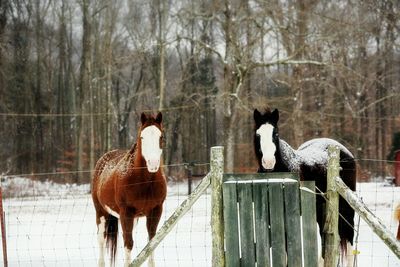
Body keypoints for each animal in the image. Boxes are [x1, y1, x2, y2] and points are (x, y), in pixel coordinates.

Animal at [92, 112, 167, 266]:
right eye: (142, 137)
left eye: (161, 137)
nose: (153, 163)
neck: (144, 182)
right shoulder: (126, 213)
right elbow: (128, 244)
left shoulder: (155, 211)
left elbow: (151, 242)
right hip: (101, 212)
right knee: (101, 239)